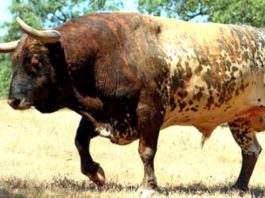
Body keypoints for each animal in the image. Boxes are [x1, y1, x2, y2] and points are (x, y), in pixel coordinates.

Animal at [0, 13, 264, 193]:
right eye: (13, 62)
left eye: (35, 62)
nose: (13, 100)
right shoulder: (107, 115)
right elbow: (80, 141)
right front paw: (95, 173)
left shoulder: (150, 110)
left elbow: (146, 151)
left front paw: (148, 186)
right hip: (240, 119)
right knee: (251, 151)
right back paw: (238, 187)